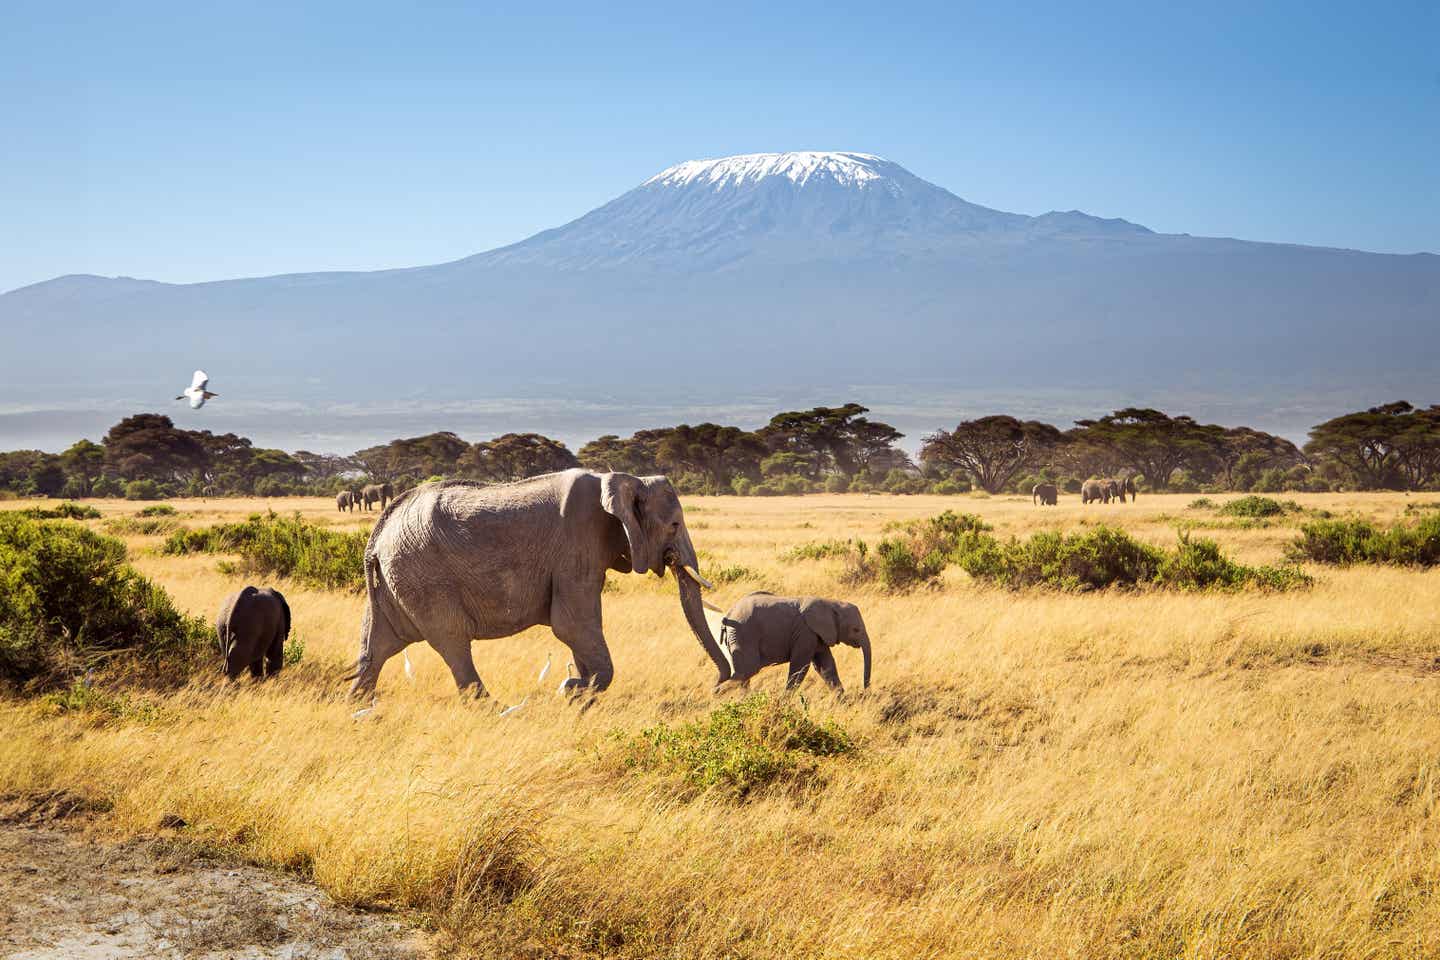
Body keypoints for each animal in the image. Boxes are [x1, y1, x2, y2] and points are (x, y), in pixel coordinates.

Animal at [349, 472, 731, 699]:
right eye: (674, 524)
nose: (717, 686)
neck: (623, 479)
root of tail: (377, 537)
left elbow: (576, 632)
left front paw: (578, 691)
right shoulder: (577, 548)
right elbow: (571, 625)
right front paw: (572, 690)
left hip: (394, 582)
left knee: (376, 647)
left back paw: (361, 711)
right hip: (424, 578)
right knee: (453, 643)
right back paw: (493, 712)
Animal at [714, 590, 869, 693]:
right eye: (856, 630)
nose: (865, 690)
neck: (831, 603)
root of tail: (727, 616)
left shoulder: (817, 635)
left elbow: (826, 666)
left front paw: (843, 701)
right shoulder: (805, 633)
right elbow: (800, 666)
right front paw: (785, 701)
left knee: (743, 674)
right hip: (744, 635)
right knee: (747, 670)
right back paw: (716, 694)